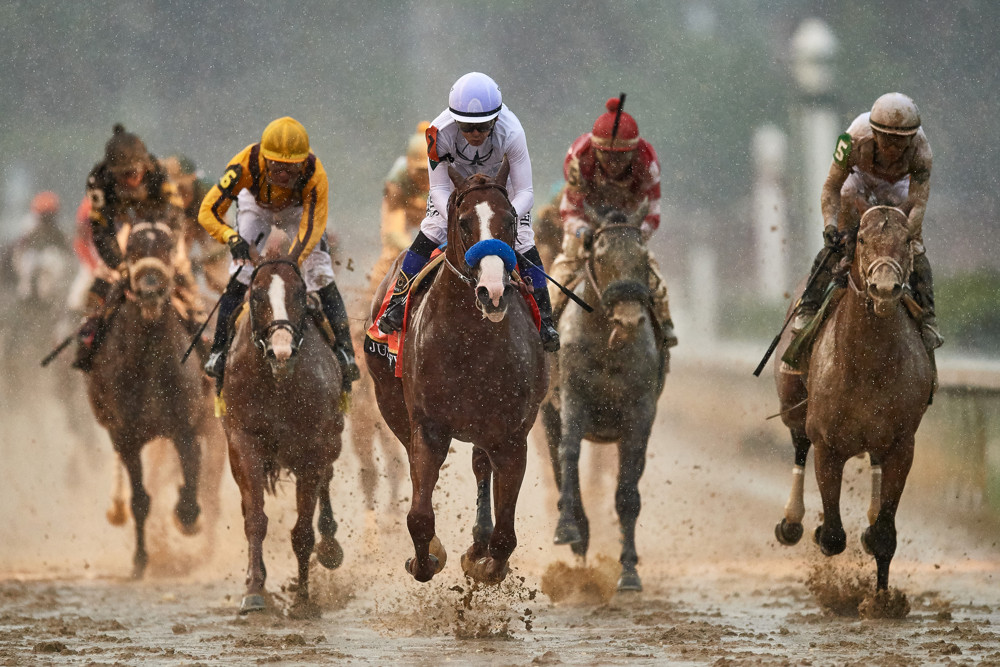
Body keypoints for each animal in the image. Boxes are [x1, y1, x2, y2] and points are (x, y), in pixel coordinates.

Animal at [85, 222, 212, 576]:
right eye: (132, 251)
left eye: (168, 248)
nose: (151, 291)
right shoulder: (126, 436)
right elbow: (140, 499)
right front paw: (140, 560)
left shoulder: (185, 427)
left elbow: (192, 477)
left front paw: (188, 520)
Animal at [221, 240, 346, 616]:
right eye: (257, 294)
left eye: (300, 293)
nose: (281, 351)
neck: (277, 384)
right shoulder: (243, 441)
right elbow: (255, 519)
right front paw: (254, 590)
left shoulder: (313, 447)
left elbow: (303, 531)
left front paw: (303, 597)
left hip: (332, 440)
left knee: (326, 484)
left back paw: (330, 545)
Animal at [366, 160, 548, 584]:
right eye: (464, 222)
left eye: (510, 220)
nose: (492, 292)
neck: (469, 344)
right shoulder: (429, 427)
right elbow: (418, 515)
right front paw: (426, 557)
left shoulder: (511, 436)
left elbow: (505, 536)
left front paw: (485, 564)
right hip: (391, 403)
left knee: (481, 465)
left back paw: (478, 541)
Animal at [536, 213, 668, 588]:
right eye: (601, 256)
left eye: (643, 259)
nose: (629, 318)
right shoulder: (572, 395)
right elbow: (568, 454)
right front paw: (569, 529)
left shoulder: (640, 410)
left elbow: (628, 490)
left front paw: (629, 571)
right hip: (548, 412)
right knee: (559, 459)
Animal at [776, 206, 932, 592]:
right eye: (861, 238)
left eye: (907, 239)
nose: (885, 288)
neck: (868, 362)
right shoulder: (828, 444)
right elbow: (833, 536)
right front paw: (819, 530)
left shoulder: (901, 445)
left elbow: (884, 536)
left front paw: (881, 597)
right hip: (791, 404)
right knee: (798, 443)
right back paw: (792, 522)